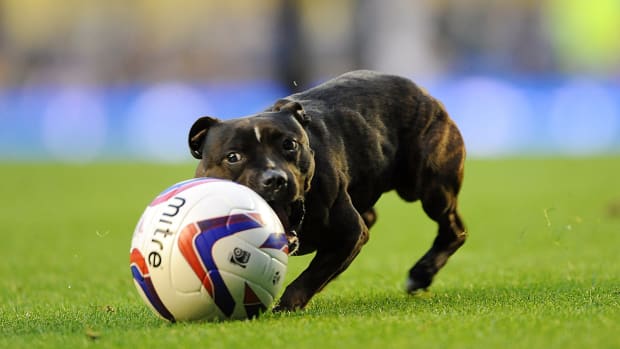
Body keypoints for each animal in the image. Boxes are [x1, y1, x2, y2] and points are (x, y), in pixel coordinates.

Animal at [186, 70, 468, 310]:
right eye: (233, 157)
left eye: (289, 144)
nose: (274, 179)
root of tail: (424, 93)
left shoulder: (350, 233)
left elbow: (311, 275)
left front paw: (286, 306)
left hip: (431, 189)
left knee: (454, 229)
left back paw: (421, 274)